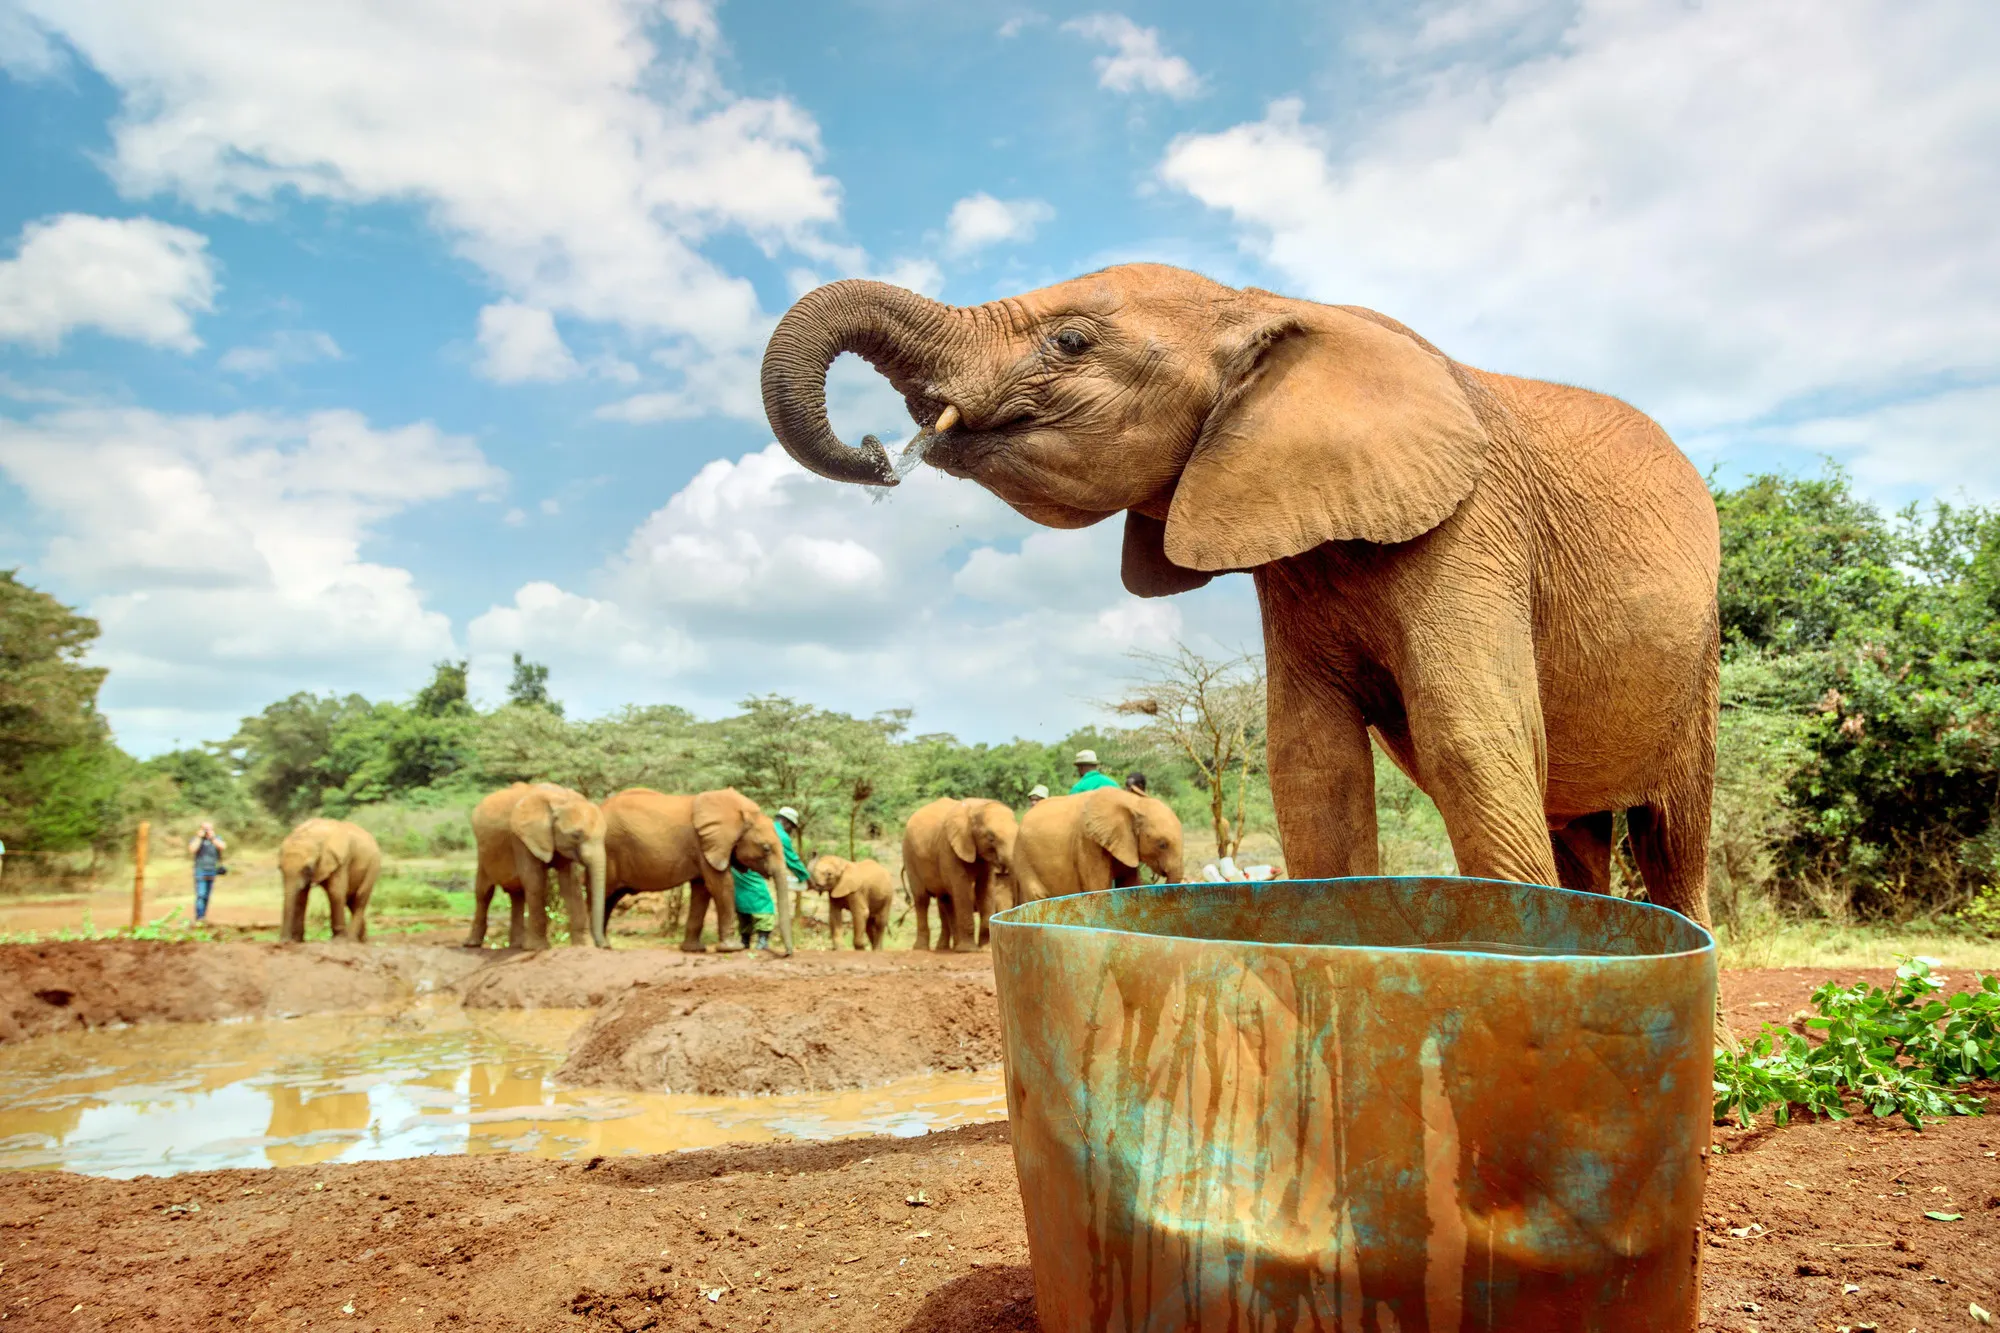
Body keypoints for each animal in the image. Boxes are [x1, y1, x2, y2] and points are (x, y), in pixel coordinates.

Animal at [464, 772, 604, 948]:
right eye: (576, 835)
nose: (604, 945)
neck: (558, 798)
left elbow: (571, 885)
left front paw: (584, 946)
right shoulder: (520, 837)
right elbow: (535, 881)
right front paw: (538, 948)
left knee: (516, 894)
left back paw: (517, 945)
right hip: (483, 854)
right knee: (483, 893)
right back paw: (472, 944)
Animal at [600, 784, 796, 948]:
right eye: (766, 848)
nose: (788, 953)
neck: (736, 813)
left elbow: (702, 890)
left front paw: (693, 949)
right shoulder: (704, 844)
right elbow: (721, 886)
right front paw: (732, 948)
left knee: (610, 898)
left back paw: (603, 944)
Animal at [912, 792, 1024, 948]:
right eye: (991, 838)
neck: (977, 807)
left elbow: (985, 889)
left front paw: (984, 948)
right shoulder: (950, 848)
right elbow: (962, 888)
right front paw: (969, 949)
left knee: (946, 900)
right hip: (909, 855)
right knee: (921, 899)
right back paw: (924, 948)